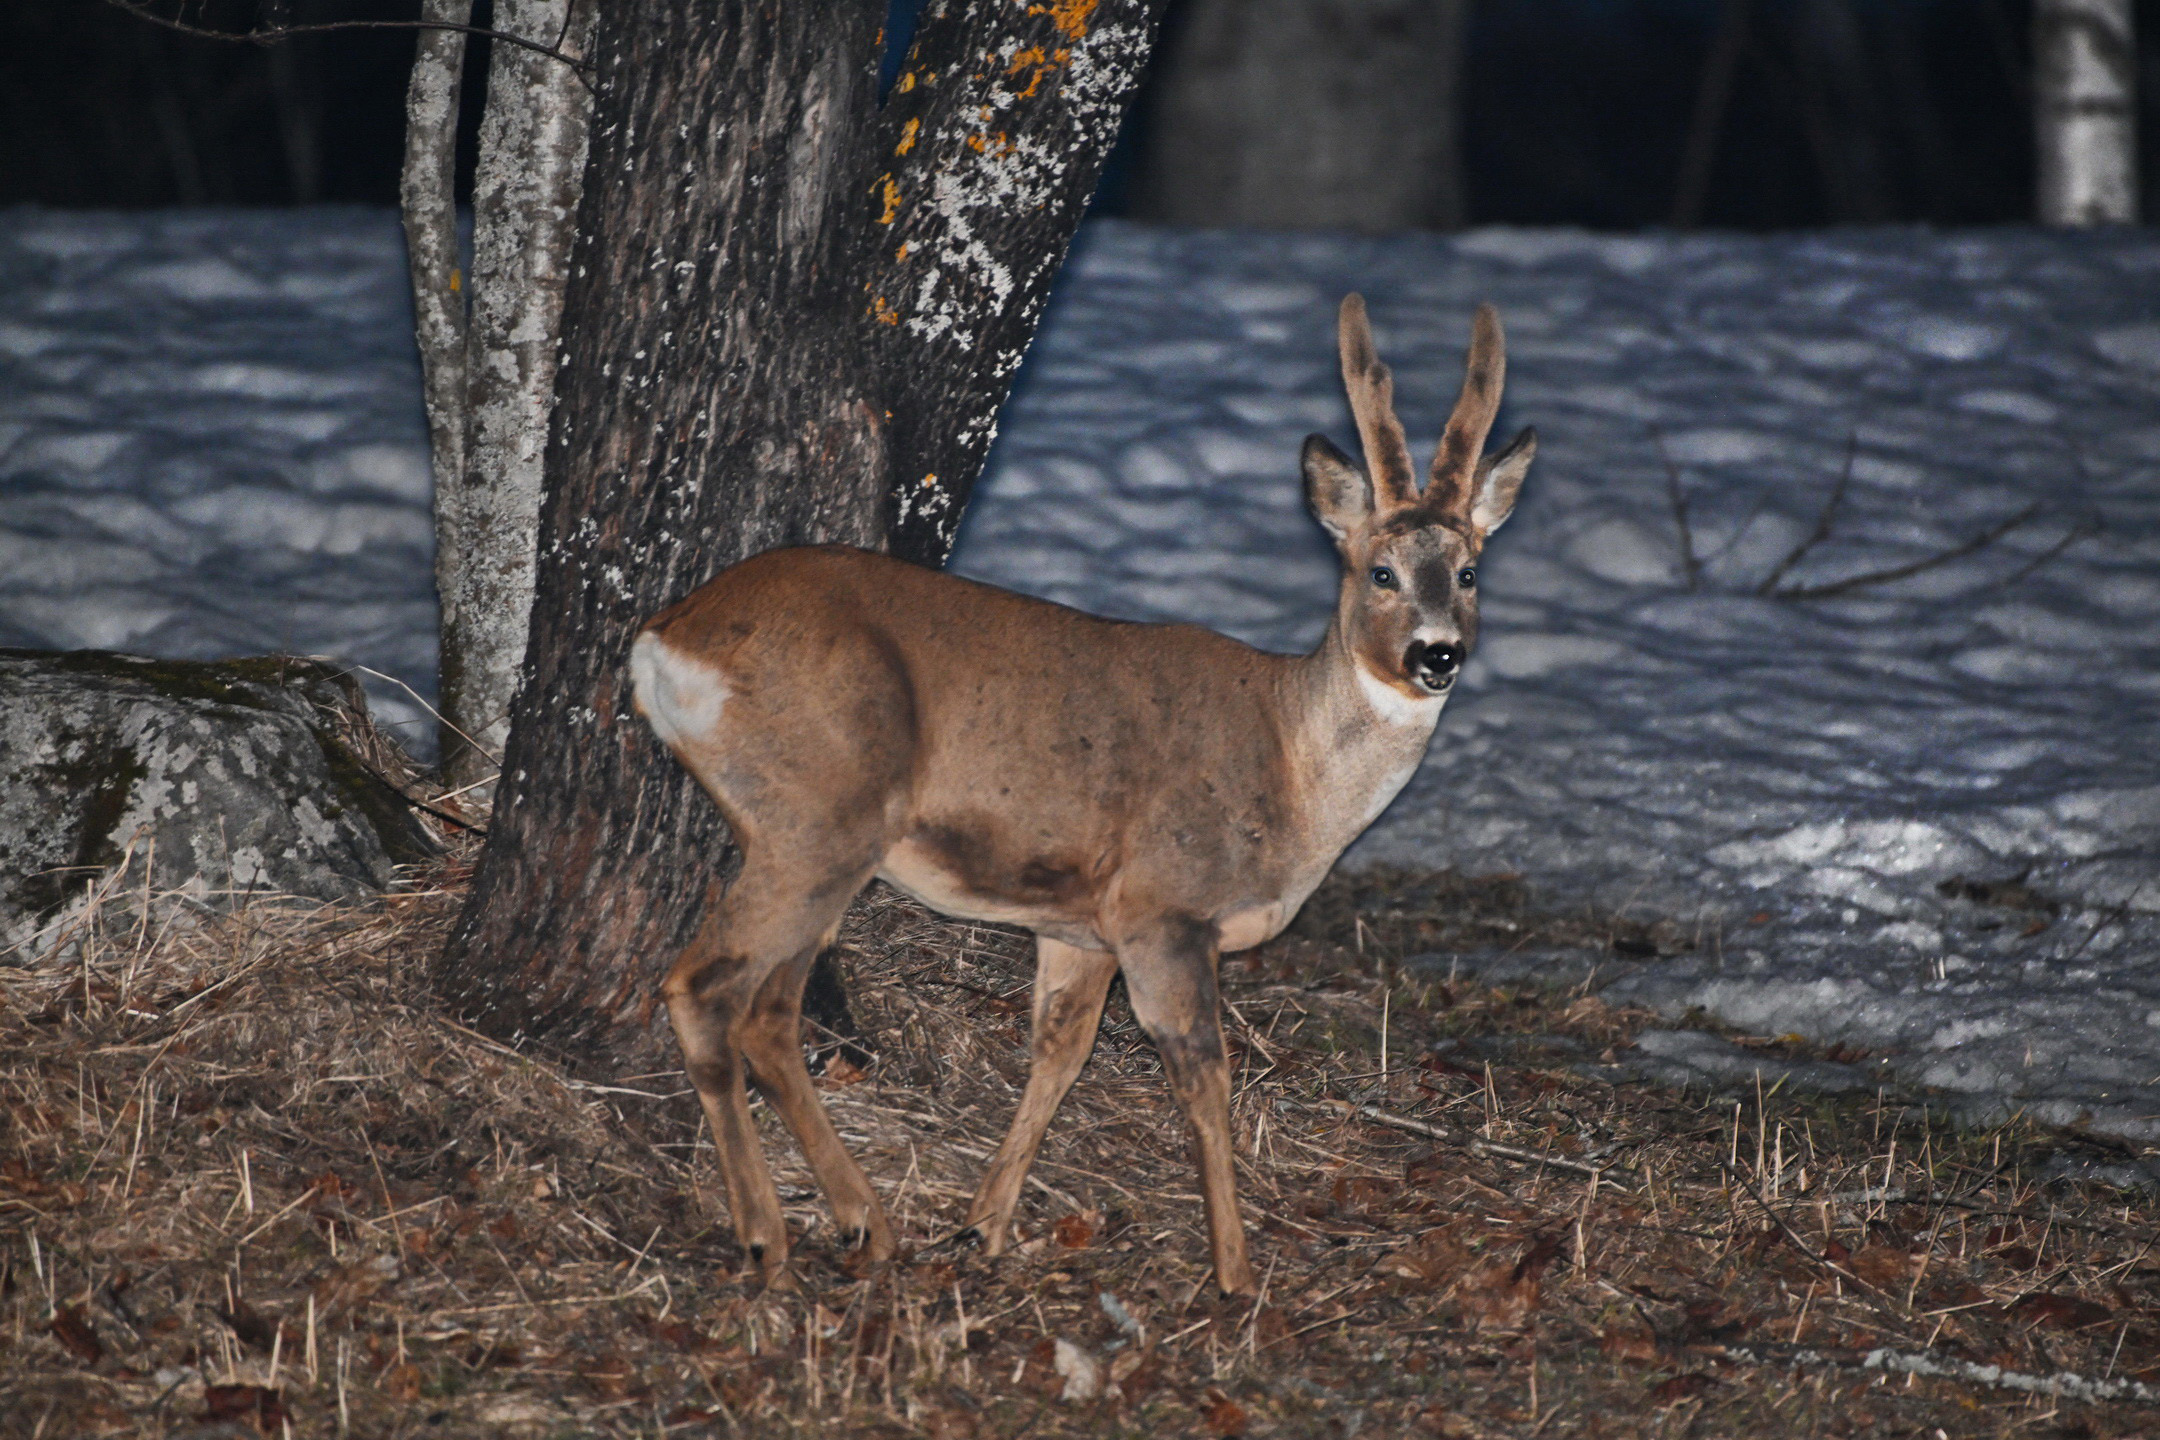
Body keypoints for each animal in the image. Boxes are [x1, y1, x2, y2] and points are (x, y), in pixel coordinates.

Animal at [630, 295, 1537, 1295]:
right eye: (1381, 572)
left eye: (1468, 573)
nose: (1437, 653)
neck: (1290, 771)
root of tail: (663, 639)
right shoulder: (1161, 907)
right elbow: (1204, 1080)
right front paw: (1234, 1274)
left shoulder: (1079, 927)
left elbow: (1059, 1055)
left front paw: (983, 1228)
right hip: (818, 817)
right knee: (706, 987)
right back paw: (767, 1234)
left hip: (818, 839)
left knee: (770, 1011)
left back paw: (868, 1224)